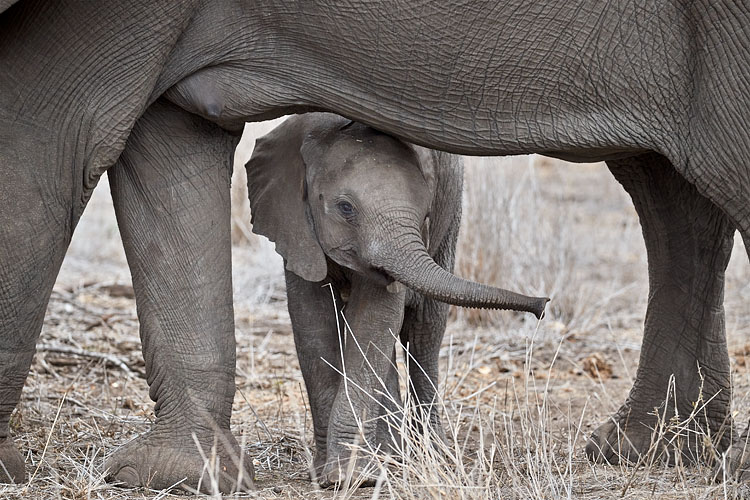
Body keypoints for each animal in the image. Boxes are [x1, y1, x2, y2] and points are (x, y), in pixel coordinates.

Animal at [245, 113, 547, 486]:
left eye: (424, 216)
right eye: (345, 208)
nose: (542, 306)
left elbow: (373, 321)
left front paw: (351, 477)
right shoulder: (295, 227)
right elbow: (312, 323)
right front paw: (331, 475)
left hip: (452, 218)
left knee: (423, 332)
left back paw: (427, 455)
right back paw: (390, 455)